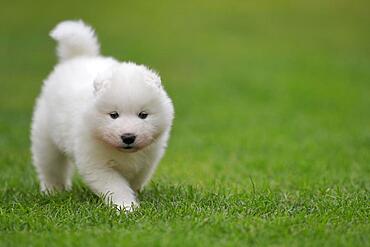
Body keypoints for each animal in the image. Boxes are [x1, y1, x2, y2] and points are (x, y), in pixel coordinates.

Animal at [30, 20, 173, 211]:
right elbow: (116, 186)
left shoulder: (148, 160)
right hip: (46, 138)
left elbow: (135, 180)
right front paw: (126, 207)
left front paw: (133, 198)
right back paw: (53, 191)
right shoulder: (97, 163)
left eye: (143, 115)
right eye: (114, 115)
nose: (128, 137)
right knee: (50, 166)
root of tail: (79, 57)